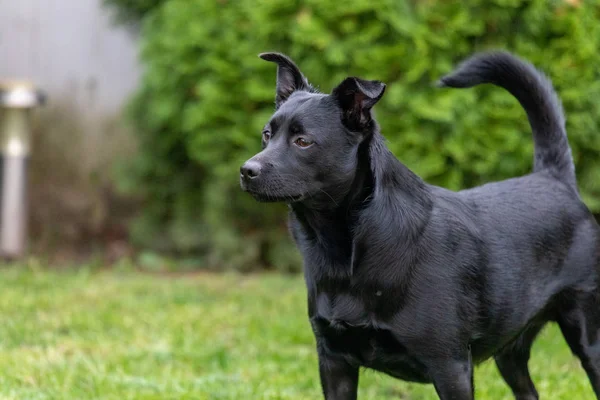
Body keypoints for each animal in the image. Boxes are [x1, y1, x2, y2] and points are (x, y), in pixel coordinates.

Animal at [239, 51, 600, 398]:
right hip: (510, 352)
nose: (246, 170)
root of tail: (553, 178)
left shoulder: (450, 367)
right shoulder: (334, 362)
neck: (350, 248)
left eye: (303, 141)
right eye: (267, 135)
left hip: (588, 338)